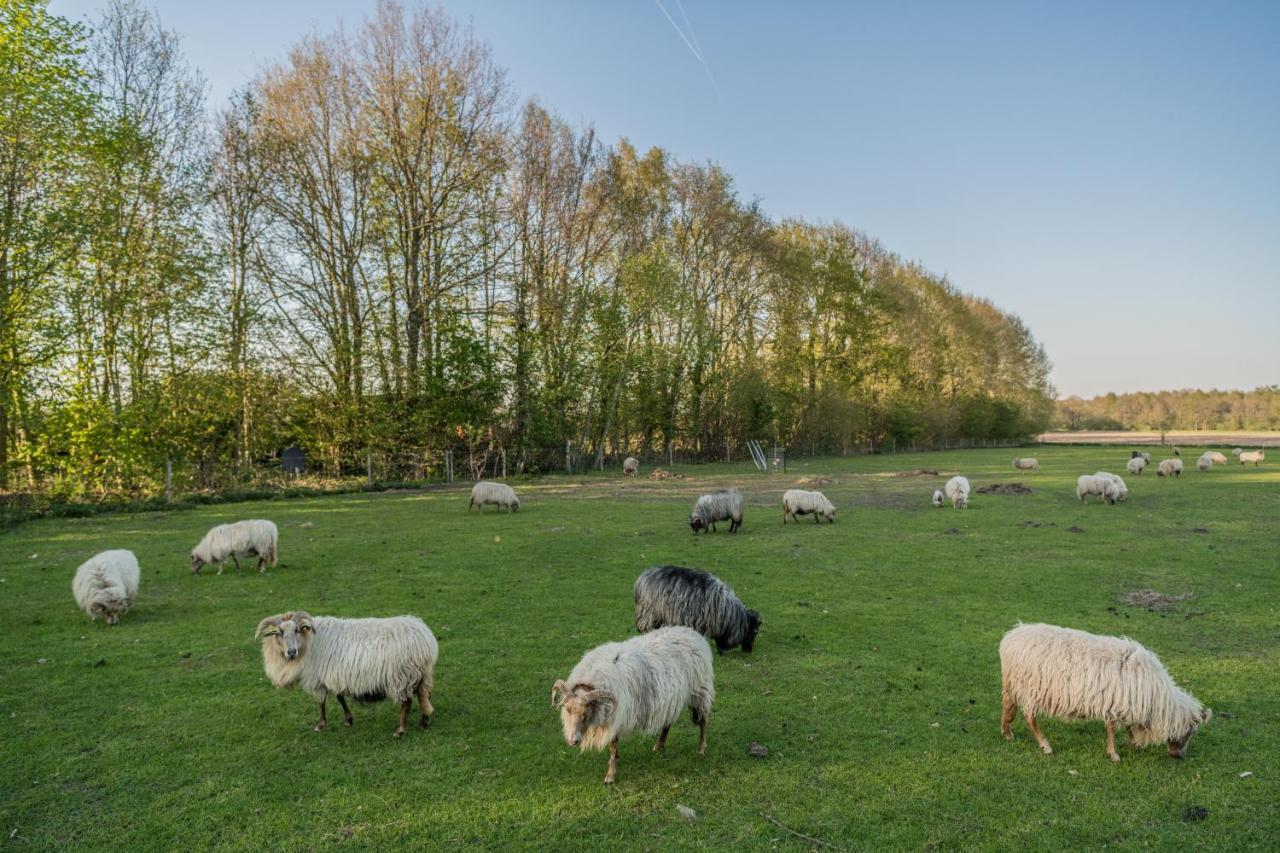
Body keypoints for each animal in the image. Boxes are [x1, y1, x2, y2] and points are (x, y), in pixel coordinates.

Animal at [254, 607, 440, 732]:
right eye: (278, 632)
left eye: (297, 629)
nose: (291, 652)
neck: (309, 642)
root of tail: (425, 639)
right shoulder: (335, 676)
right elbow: (340, 697)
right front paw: (348, 720)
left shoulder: (318, 679)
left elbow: (321, 702)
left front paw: (320, 725)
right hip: (421, 675)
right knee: (425, 695)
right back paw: (424, 722)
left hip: (402, 675)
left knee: (407, 702)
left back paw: (400, 730)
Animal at [547, 625, 716, 783]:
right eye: (567, 710)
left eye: (585, 714)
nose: (572, 741)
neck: (592, 680)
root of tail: (691, 632)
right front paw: (616, 761)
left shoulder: (616, 717)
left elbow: (613, 746)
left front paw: (610, 775)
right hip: (672, 699)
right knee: (667, 722)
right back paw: (659, 745)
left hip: (700, 691)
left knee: (704, 721)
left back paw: (701, 749)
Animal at [998, 622, 1208, 758]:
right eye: (1191, 731)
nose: (1179, 756)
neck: (1158, 700)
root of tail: (1011, 637)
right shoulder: (1117, 703)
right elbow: (1112, 728)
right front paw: (1114, 754)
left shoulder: (1123, 703)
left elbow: (1125, 726)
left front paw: (1133, 743)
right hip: (1031, 688)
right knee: (1029, 716)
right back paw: (1045, 745)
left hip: (1014, 684)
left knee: (1008, 707)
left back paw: (1006, 732)